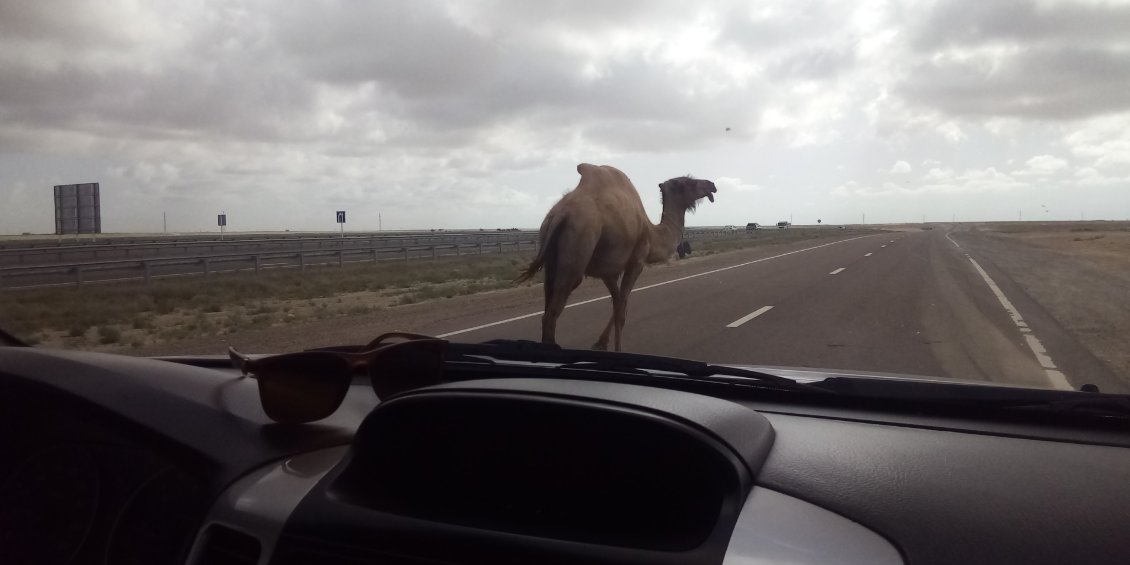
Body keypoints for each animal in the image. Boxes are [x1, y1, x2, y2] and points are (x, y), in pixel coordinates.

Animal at [515, 161, 714, 350]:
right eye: (689, 182)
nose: (711, 185)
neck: (652, 234)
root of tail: (561, 213)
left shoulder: (609, 271)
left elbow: (618, 304)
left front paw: (600, 343)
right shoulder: (637, 261)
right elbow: (621, 310)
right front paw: (617, 349)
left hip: (550, 257)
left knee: (547, 307)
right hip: (578, 247)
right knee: (551, 314)